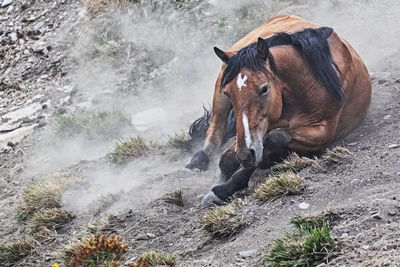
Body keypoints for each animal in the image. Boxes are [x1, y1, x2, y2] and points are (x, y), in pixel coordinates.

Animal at [186, 15, 370, 207]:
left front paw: (223, 189)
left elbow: (272, 139)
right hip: (219, 91)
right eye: (229, 92)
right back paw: (197, 162)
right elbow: (229, 159)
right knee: (215, 130)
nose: (244, 154)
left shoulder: (322, 133)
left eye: (264, 88)